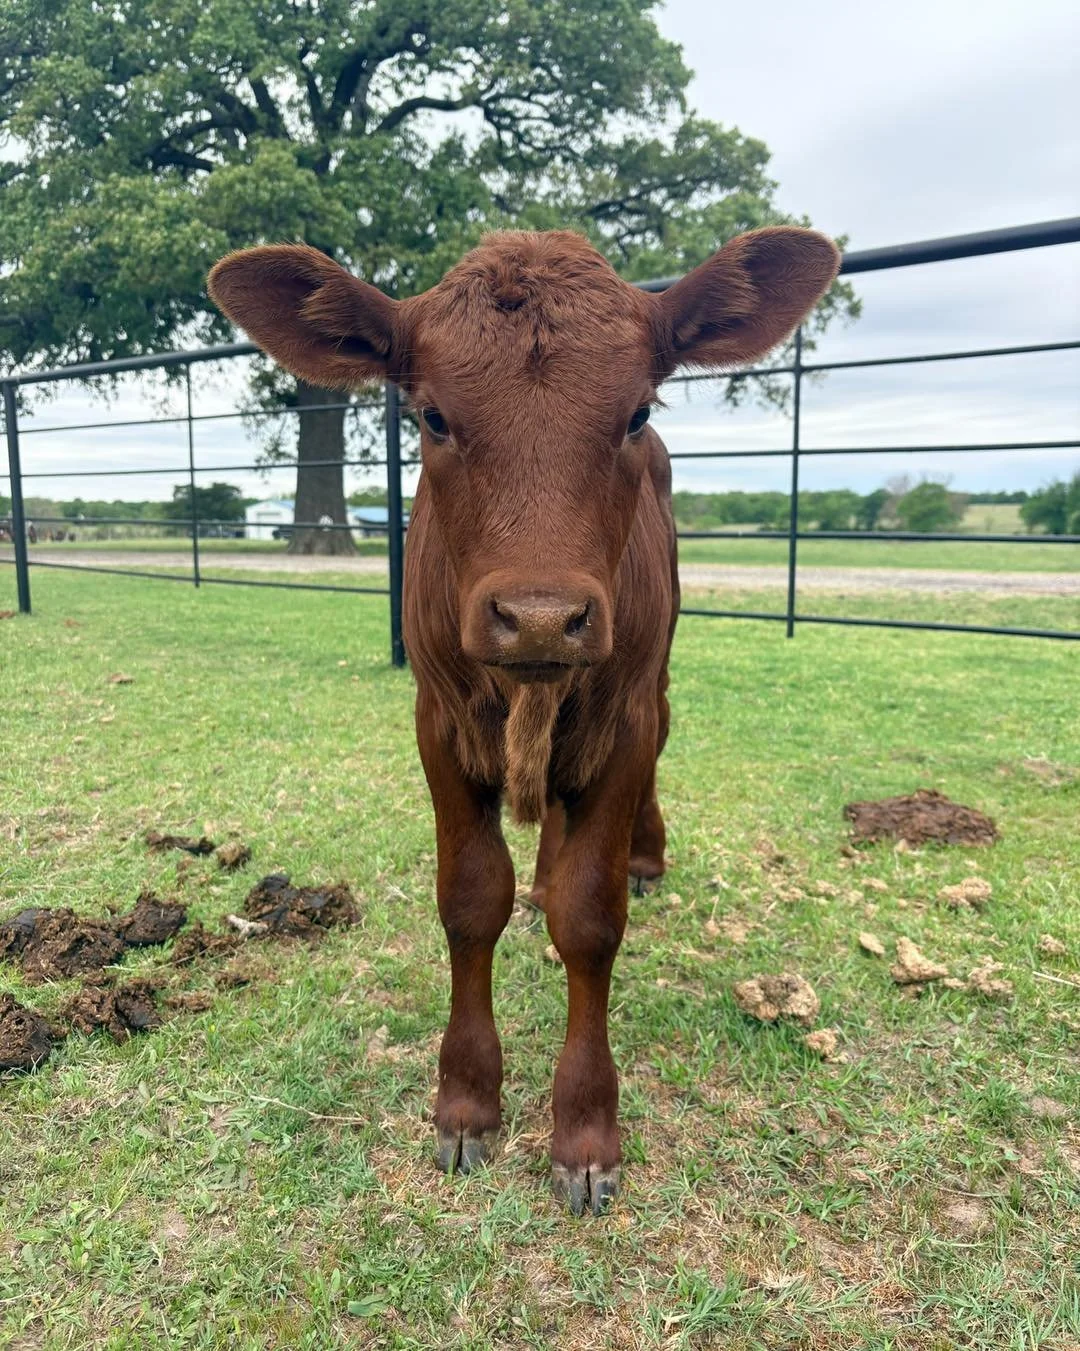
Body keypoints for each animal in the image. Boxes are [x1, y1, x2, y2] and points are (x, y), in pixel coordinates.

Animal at [208, 227, 839, 1214]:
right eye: (431, 416)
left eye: (635, 410)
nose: (541, 616)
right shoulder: (436, 722)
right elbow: (471, 900)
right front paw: (466, 1101)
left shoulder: (619, 719)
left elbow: (590, 916)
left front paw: (583, 1129)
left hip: (653, 673)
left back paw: (642, 853)